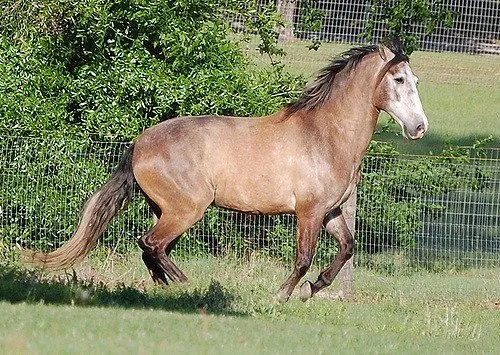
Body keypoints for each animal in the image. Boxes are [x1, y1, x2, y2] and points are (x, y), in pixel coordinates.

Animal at [27, 37, 428, 302]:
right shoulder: (309, 212)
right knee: (150, 244)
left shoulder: (329, 211)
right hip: (187, 209)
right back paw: (185, 285)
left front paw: (313, 288)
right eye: (398, 80)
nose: (420, 128)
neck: (324, 136)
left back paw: (168, 287)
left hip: (165, 209)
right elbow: (303, 258)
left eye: (415, 81)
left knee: (151, 247)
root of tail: (140, 143)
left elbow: (347, 248)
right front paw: (283, 295)